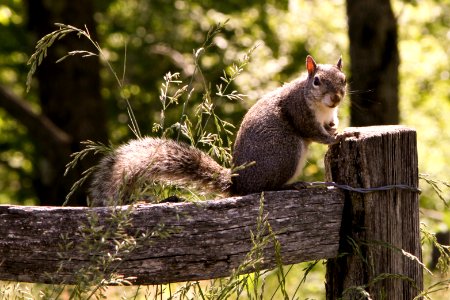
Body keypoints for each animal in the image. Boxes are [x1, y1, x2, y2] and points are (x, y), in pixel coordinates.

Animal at [89, 55, 352, 206]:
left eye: (344, 79)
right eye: (316, 81)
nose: (336, 98)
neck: (323, 108)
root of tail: (238, 184)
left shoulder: (327, 116)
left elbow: (328, 125)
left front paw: (337, 128)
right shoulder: (299, 113)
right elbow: (314, 133)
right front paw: (337, 137)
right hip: (285, 152)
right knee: (264, 188)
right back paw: (291, 186)